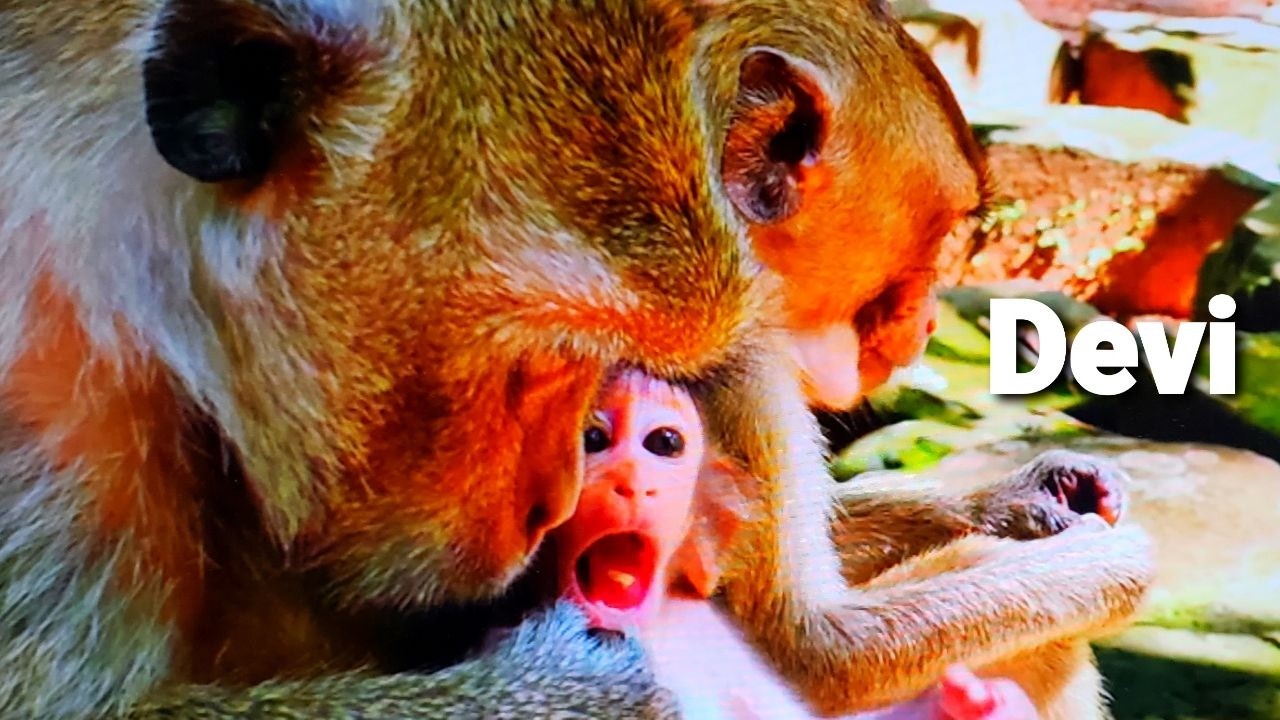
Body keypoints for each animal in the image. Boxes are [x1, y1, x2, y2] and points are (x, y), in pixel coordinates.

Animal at [0, 1, 1152, 718]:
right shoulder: (744, 358)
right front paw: (1105, 560)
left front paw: (1029, 498)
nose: (915, 329)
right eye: (913, 266)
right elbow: (819, 650)